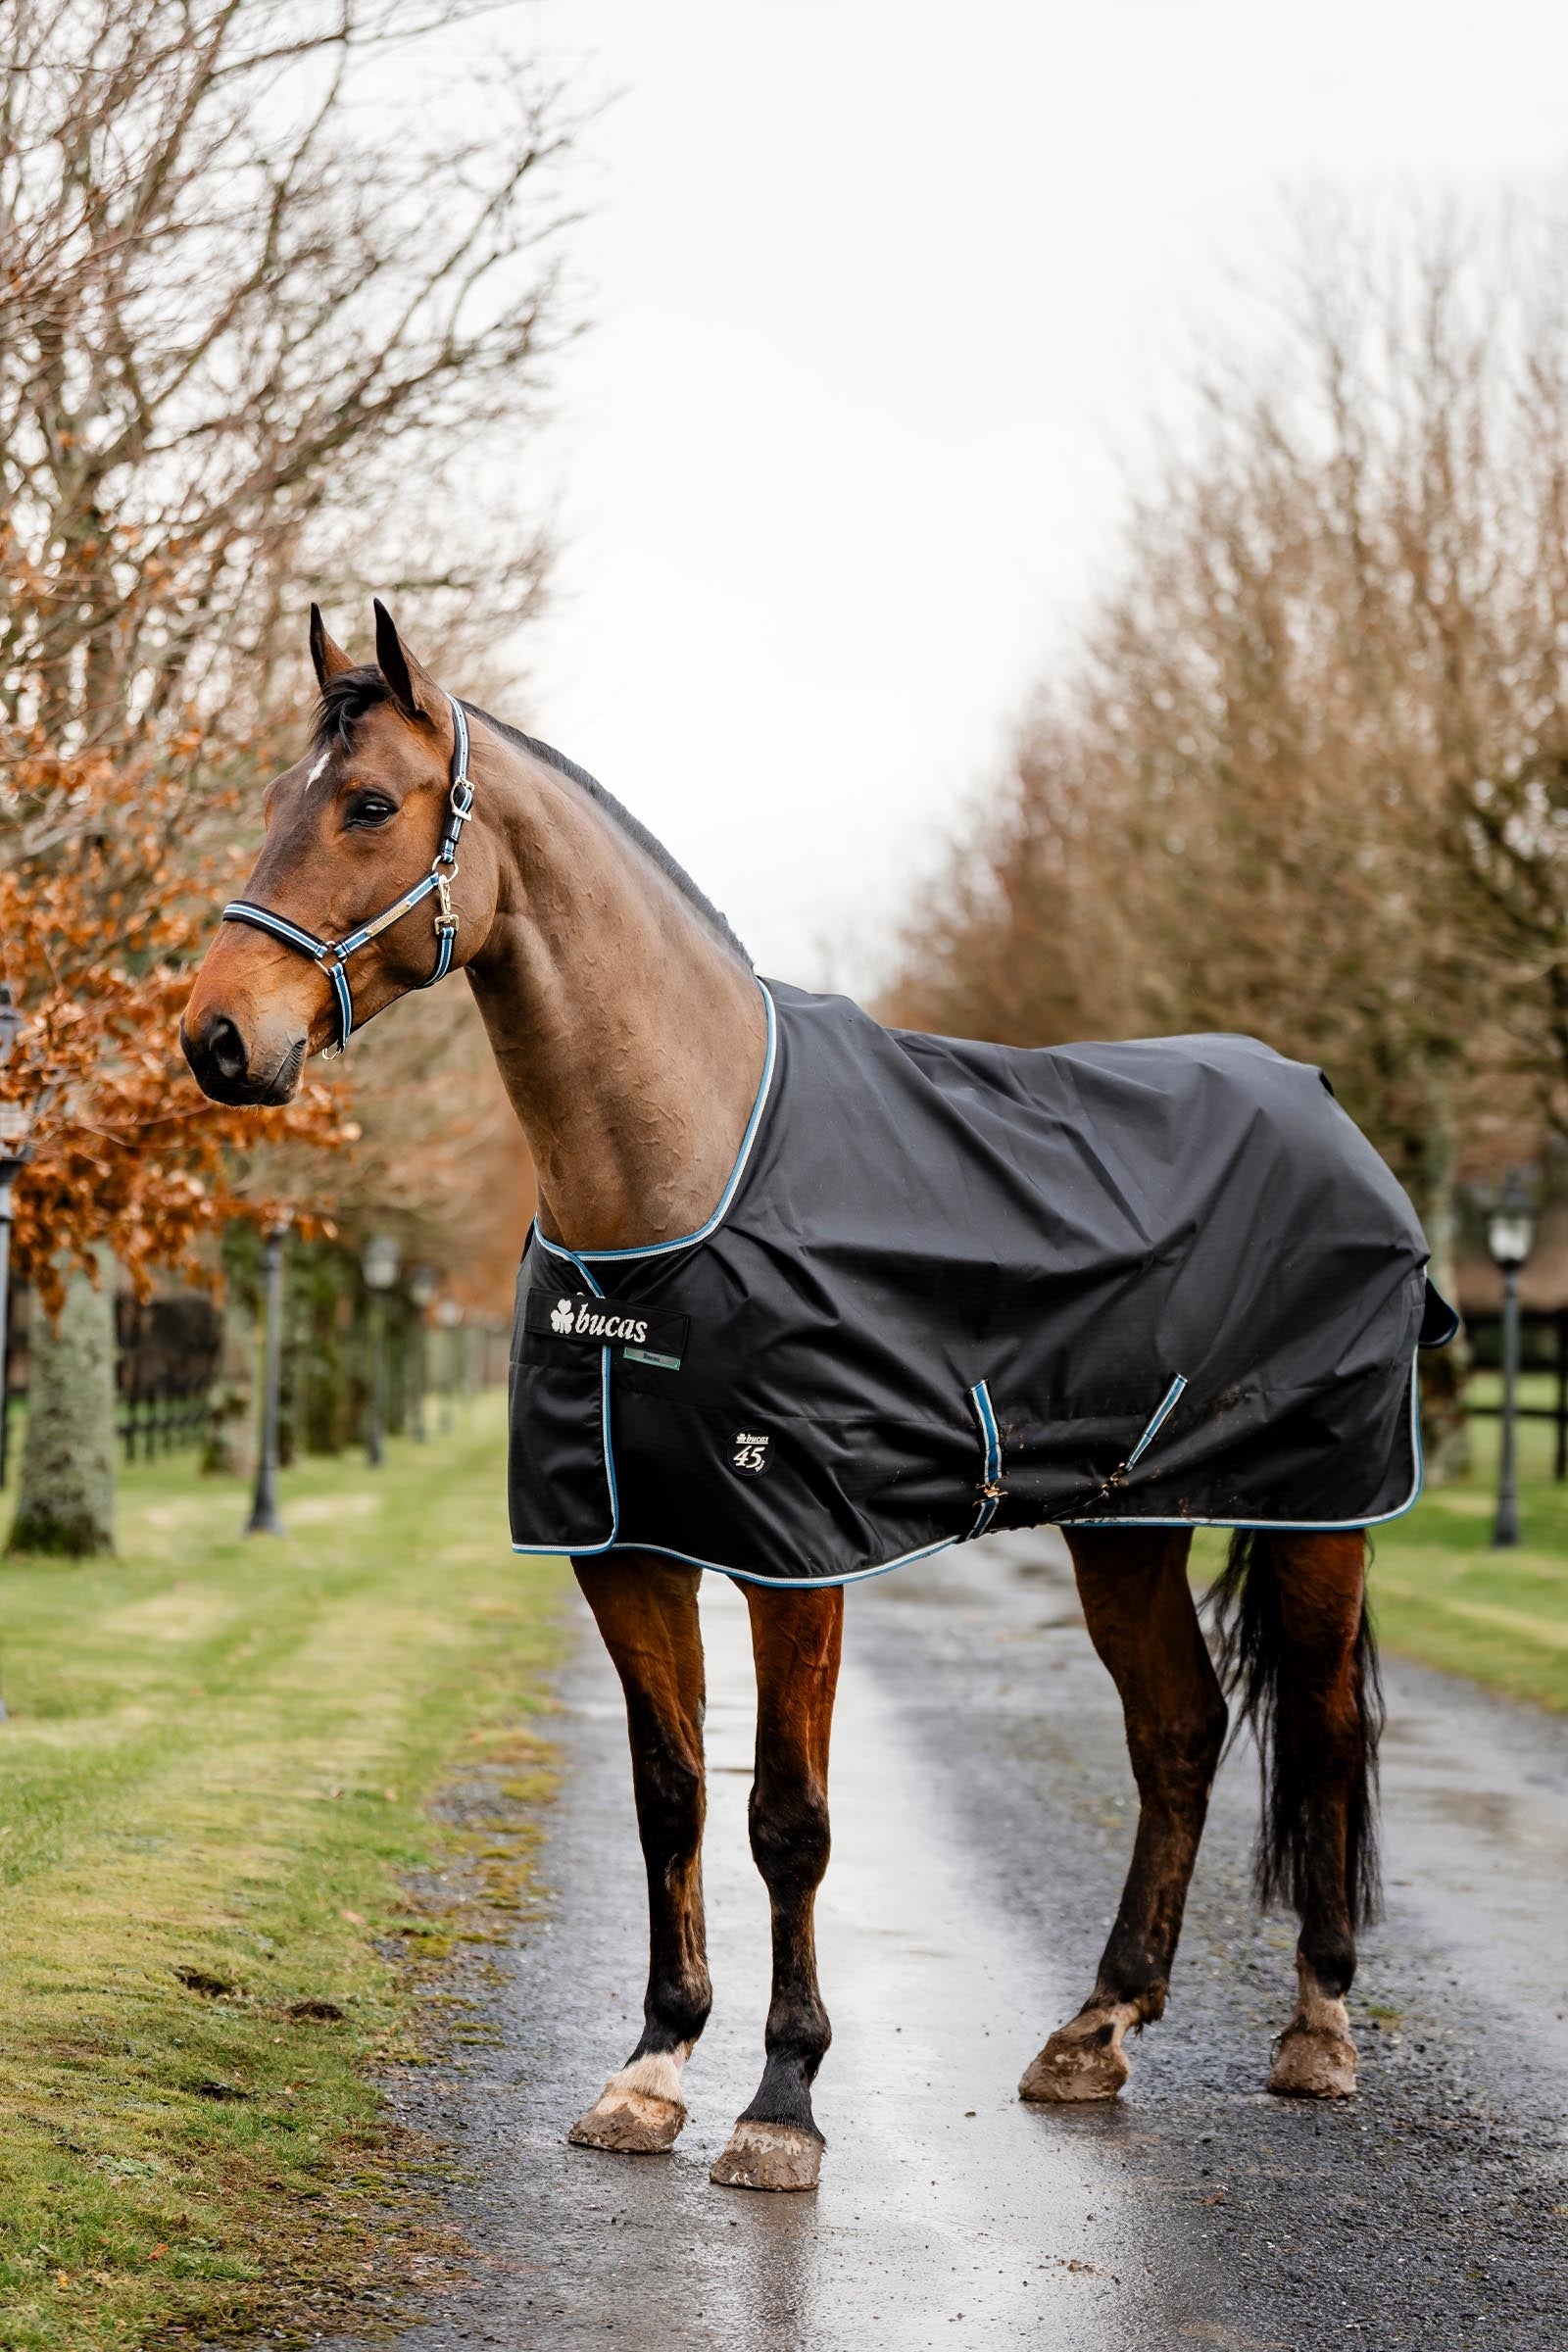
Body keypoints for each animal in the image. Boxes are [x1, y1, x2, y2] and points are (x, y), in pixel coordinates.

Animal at [181, 601, 1399, 2193]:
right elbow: (673, 1797)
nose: (216, 1037)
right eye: (276, 796)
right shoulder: (624, 1549)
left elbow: (789, 1820)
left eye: (370, 805)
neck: (680, 1178)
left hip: (1321, 1519)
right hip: (1122, 1527)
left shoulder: (793, 1555)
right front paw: (650, 2071)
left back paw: (1316, 2029)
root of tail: (1324, 1106)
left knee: (1320, 1735)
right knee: (1180, 1735)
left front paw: (781, 2102)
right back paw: (1096, 2030)